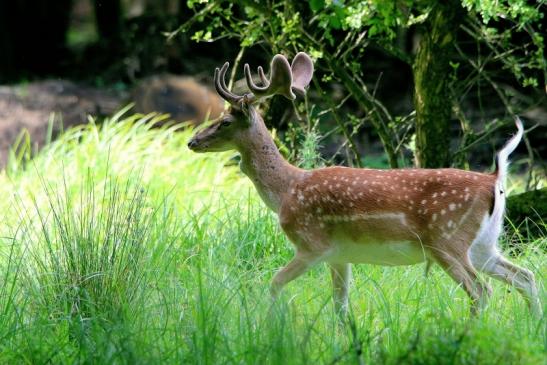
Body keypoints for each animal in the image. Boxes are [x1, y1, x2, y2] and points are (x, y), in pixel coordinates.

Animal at [189, 51, 544, 316]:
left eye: (224, 121)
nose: (192, 141)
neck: (287, 190)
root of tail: (495, 179)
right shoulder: (340, 254)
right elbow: (340, 306)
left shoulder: (312, 243)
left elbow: (274, 284)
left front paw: (273, 326)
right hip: (484, 243)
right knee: (525, 276)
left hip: (447, 238)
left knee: (482, 291)